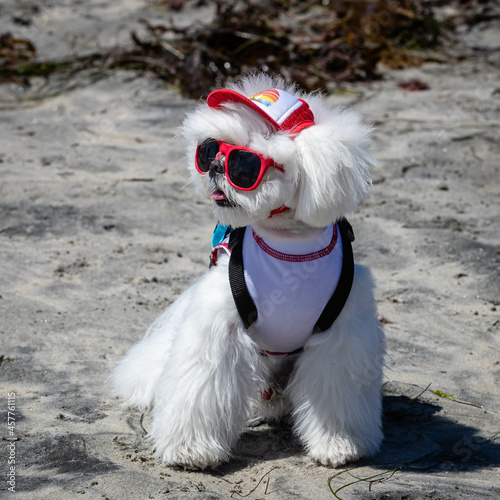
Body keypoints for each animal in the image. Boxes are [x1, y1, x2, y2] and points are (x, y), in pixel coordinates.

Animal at [112, 73, 386, 468]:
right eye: (211, 149)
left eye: (247, 165)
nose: (214, 165)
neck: (289, 248)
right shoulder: (218, 326)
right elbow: (200, 385)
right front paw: (191, 449)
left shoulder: (341, 334)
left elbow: (336, 392)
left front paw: (339, 443)